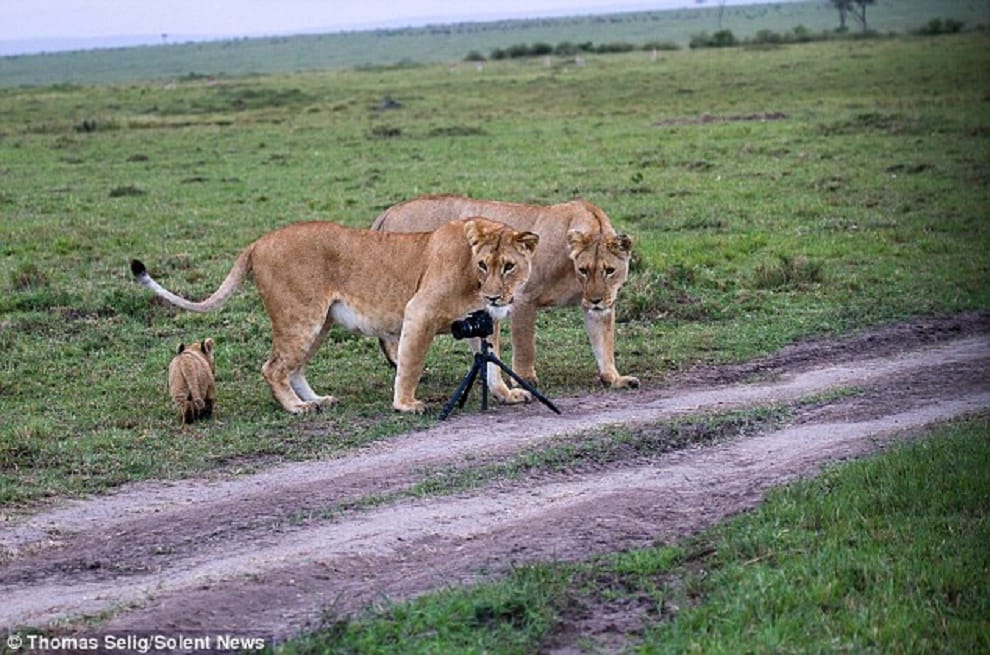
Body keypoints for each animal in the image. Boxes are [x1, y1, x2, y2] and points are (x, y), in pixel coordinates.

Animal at [131, 218, 539, 414]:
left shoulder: (481, 320)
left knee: (294, 367)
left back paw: (318, 400)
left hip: (320, 322)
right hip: (301, 317)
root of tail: (258, 242)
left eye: (509, 267)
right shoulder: (418, 311)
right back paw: (298, 408)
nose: (494, 295)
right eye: (484, 264)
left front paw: (506, 394)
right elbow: (411, 363)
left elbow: (491, 364)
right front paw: (405, 404)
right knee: (273, 367)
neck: (472, 276)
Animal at [372, 194, 638, 395]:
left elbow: (604, 344)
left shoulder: (601, 308)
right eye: (584, 269)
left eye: (609, 271)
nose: (595, 299)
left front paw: (614, 378)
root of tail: (389, 211)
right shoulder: (524, 297)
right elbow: (525, 345)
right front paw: (526, 379)